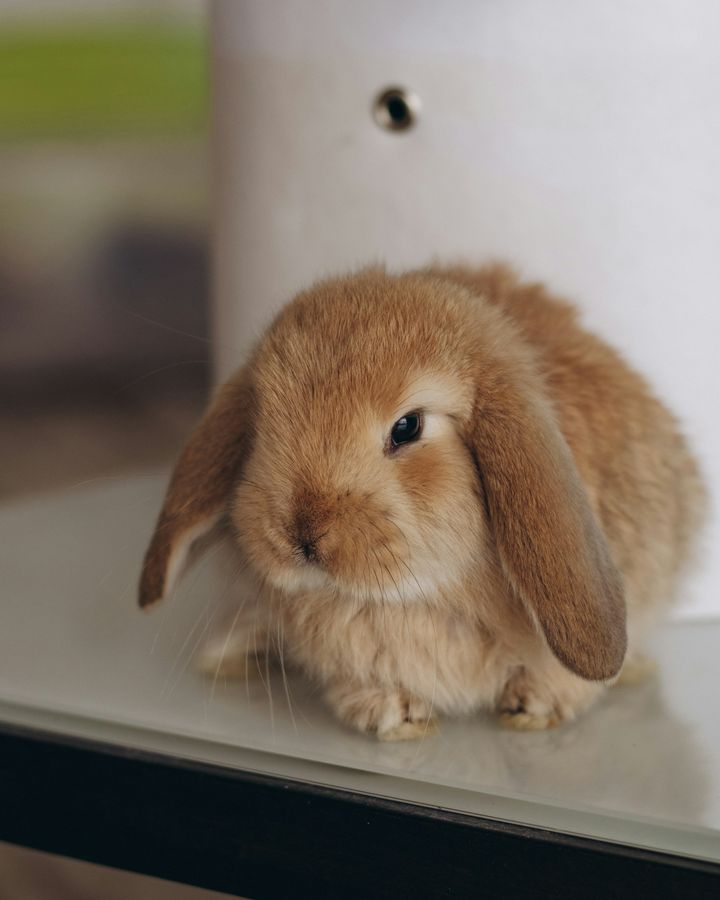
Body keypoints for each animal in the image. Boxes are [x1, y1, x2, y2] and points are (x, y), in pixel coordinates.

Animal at [139, 263, 706, 740]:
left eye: (407, 427)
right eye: (260, 426)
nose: (302, 534)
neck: (410, 595)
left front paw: (534, 705)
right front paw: (394, 715)